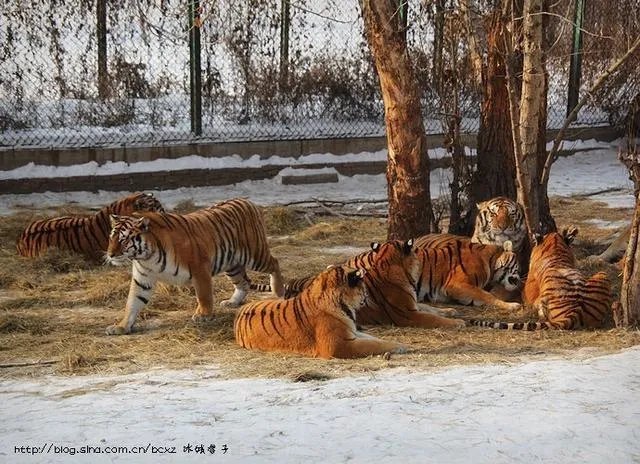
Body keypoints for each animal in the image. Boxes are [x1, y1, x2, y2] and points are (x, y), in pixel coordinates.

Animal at [104, 198, 284, 335]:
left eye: (123, 240)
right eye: (111, 238)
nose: (110, 254)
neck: (147, 257)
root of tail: (247, 201)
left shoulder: (199, 268)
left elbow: (203, 295)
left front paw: (203, 315)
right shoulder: (143, 279)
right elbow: (132, 303)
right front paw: (121, 327)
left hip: (255, 255)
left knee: (274, 263)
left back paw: (279, 291)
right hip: (232, 264)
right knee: (243, 283)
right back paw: (232, 302)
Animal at [235, 265, 409, 359]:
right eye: (363, 286)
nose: (367, 296)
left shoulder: (351, 332)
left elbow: (373, 339)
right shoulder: (339, 345)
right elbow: (372, 344)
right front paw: (401, 346)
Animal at [251, 239, 466, 329]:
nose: (420, 262)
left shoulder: (413, 305)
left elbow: (431, 309)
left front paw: (451, 311)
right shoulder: (408, 314)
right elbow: (434, 318)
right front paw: (458, 323)